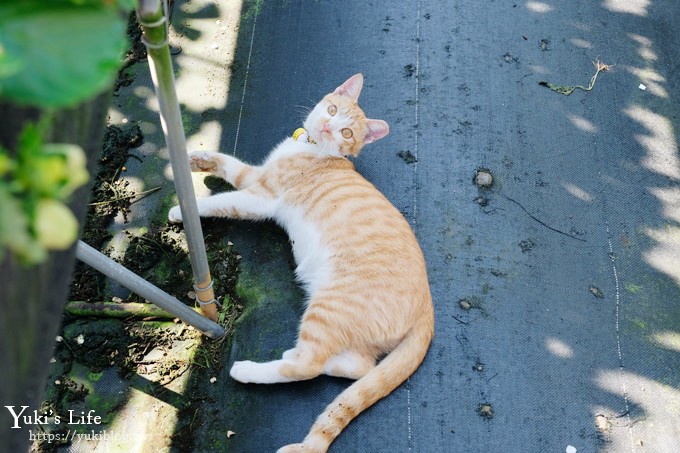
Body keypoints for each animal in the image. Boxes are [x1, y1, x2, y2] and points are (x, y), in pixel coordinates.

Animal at [168, 72, 432, 450]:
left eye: (346, 133)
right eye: (333, 110)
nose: (327, 126)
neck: (309, 147)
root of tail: (428, 309)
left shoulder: (260, 197)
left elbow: (222, 200)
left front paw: (183, 209)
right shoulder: (255, 175)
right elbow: (230, 164)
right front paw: (198, 160)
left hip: (328, 308)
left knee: (307, 367)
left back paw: (251, 370)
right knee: (360, 367)